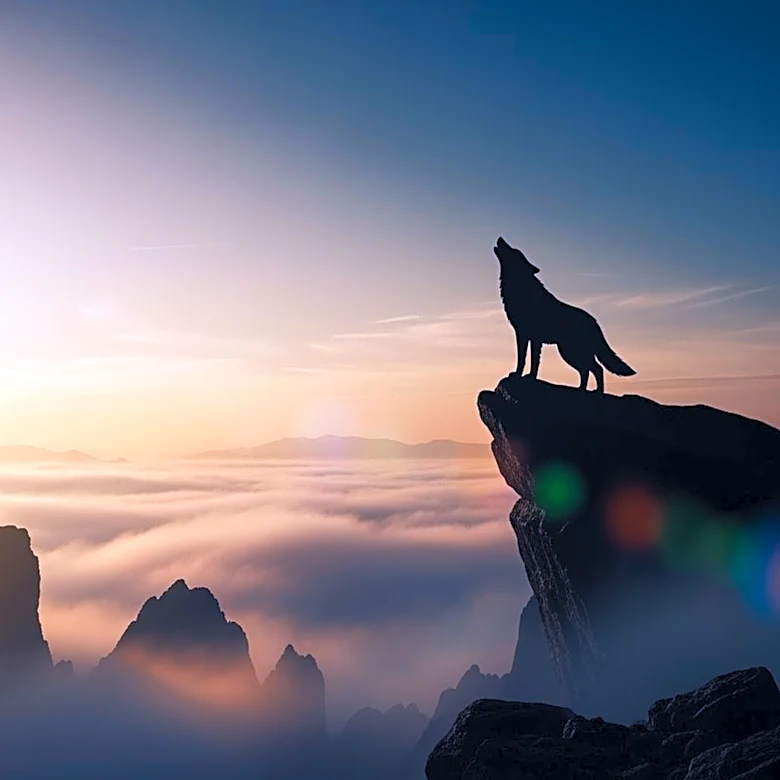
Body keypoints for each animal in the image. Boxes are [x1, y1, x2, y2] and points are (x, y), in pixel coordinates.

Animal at [494, 237, 635, 392]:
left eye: (514, 251)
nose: (500, 238)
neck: (521, 288)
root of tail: (595, 322)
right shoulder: (526, 335)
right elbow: (527, 359)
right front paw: (524, 375)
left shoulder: (529, 336)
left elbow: (528, 360)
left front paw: (527, 377)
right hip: (569, 352)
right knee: (587, 370)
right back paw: (581, 389)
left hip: (571, 352)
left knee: (596, 369)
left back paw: (597, 392)